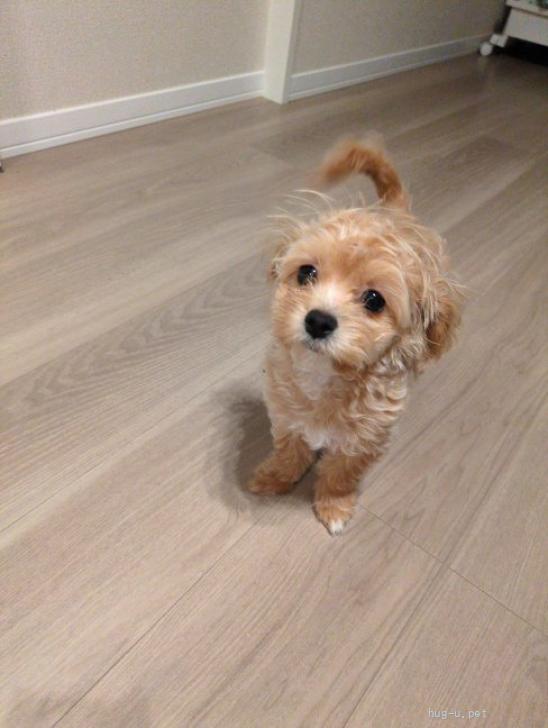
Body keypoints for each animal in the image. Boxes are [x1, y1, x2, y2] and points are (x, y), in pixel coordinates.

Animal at [248, 139, 462, 534]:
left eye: (374, 300)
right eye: (306, 273)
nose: (318, 321)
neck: (327, 376)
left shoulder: (364, 440)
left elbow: (340, 474)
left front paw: (333, 506)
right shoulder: (287, 414)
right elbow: (289, 450)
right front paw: (274, 478)